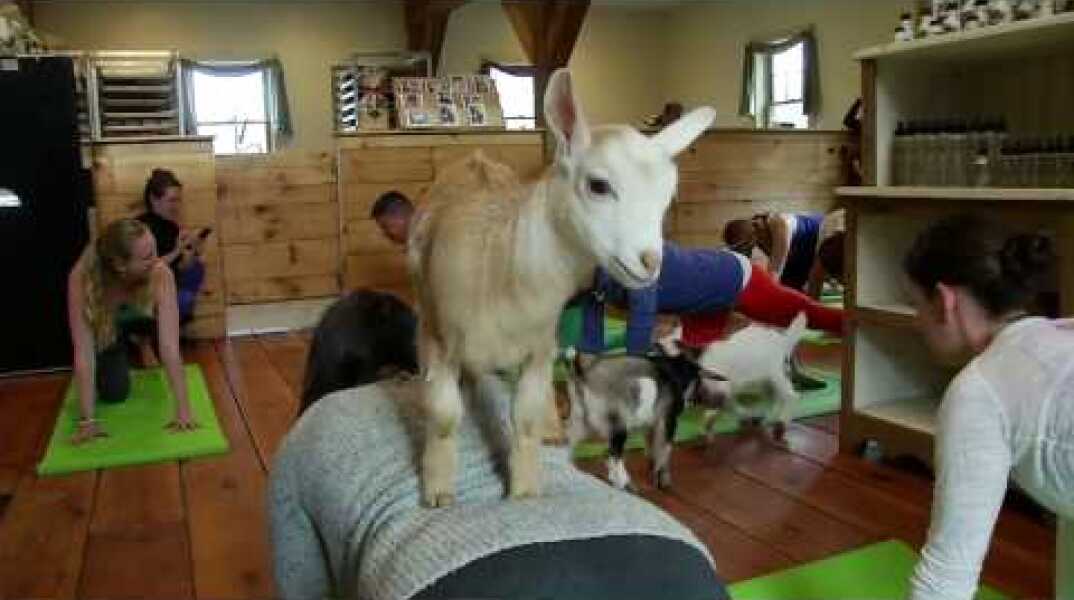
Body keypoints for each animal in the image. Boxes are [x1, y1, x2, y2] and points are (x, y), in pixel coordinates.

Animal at [563, 347, 728, 492]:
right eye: (697, 382)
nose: (692, 402)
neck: (673, 370)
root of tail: (583, 371)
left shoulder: (653, 422)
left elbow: (652, 444)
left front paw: (652, 465)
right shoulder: (668, 420)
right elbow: (666, 448)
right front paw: (662, 478)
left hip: (580, 422)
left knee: (569, 445)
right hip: (618, 425)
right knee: (614, 455)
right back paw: (623, 482)